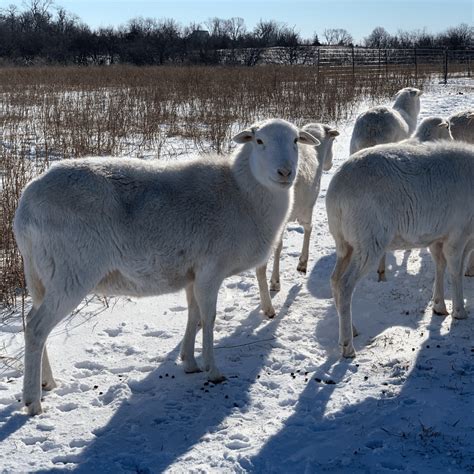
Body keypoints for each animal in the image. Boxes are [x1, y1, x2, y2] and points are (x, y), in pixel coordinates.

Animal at [12, 118, 320, 414]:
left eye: (295, 140)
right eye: (259, 141)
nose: (285, 173)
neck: (241, 192)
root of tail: (24, 207)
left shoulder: (193, 274)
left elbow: (193, 316)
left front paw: (189, 362)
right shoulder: (210, 270)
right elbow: (209, 319)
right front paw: (213, 370)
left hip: (44, 274)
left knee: (33, 320)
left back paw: (47, 382)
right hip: (72, 271)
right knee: (37, 328)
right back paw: (33, 402)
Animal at [258, 122, 338, 316]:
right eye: (333, 142)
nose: (330, 164)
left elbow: (279, 247)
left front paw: (275, 282)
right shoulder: (306, 209)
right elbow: (308, 229)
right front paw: (302, 264)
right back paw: (268, 307)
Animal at [326, 142, 474, 360]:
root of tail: (335, 193)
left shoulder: (438, 238)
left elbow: (440, 266)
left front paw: (439, 306)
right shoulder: (457, 236)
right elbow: (455, 272)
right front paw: (459, 311)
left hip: (346, 245)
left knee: (335, 280)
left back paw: (352, 329)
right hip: (368, 243)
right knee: (345, 285)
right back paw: (347, 347)